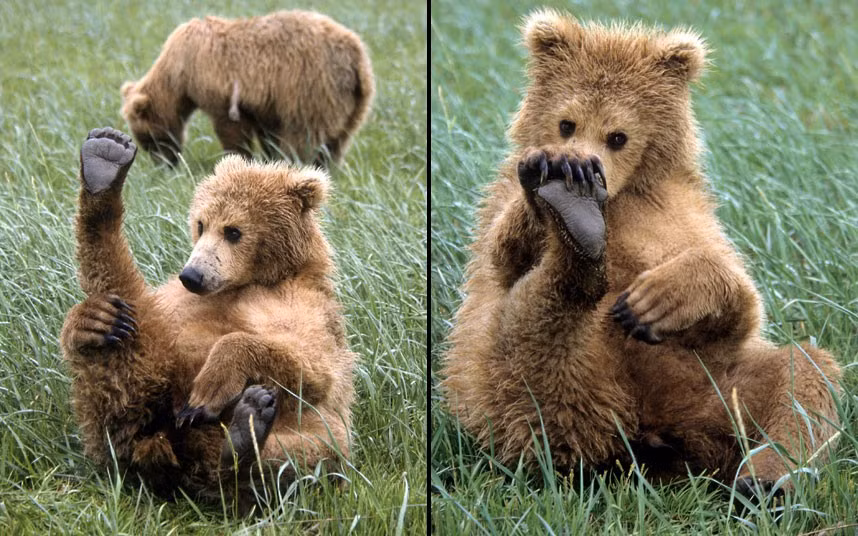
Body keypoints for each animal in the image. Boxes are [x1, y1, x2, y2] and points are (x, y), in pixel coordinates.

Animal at [60, 127, 356, 509]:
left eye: (233, 231)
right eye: (201, 224)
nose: (192, 275)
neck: (254, 280)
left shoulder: (307, 307)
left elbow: (312, 366)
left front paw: (208, 390)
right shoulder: (176, 299)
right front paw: (84, 320)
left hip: (311, 431)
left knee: (311, 453)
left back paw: (243, 437)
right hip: (141, 381)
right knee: (124, 339)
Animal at [120, 10, 375, 167]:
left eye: (148, 138)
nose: (165, 166)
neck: (179, 73)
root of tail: (355, 56)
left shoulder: (219, 86)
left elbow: (232, 130)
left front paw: (237, 158)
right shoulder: (265, 103)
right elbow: (267, 132)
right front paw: (267, 155)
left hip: (310, 87)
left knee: (303, 136)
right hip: (354, 101)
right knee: (339, 139)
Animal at [441, 10, 841, 496]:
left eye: (618, 136)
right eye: (567, 123)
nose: (584, 169)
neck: (619, 200)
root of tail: (639, 439)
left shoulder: (683, 213)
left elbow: (738, 305)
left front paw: (654, 300)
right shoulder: (496, 205)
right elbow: (504, 256)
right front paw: (552, 182)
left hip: (711, 390)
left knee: (803, 375)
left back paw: (765, 482)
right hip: (511, 391)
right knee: (530, 341)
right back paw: (577, 236)